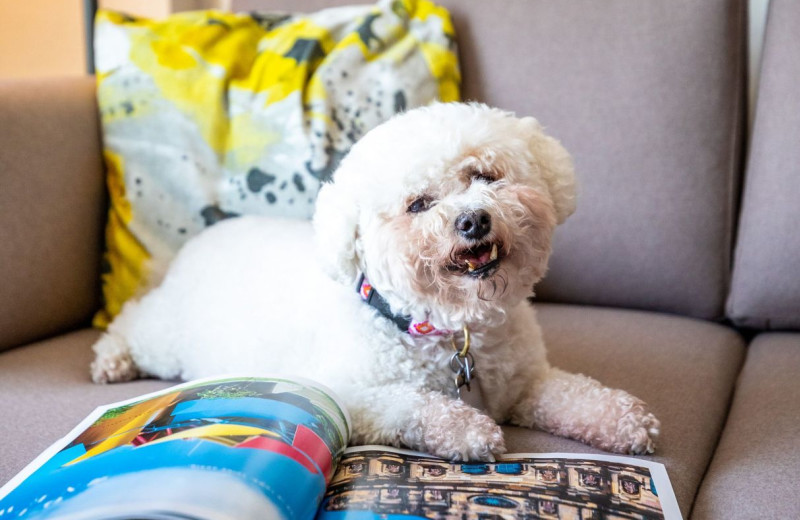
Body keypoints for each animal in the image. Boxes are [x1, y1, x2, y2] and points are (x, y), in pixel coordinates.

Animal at [90, 103, 660, 462]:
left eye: (484, 175)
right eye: (419, 204)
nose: (473, 220)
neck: (449, 328)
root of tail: (207, 235)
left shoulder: (526, 382)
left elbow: (575, 393)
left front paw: (626, 421)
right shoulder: (347, 391)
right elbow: (412, 403)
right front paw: (466, 428)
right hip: (169, 337)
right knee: (132, 320)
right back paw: (112, 358)